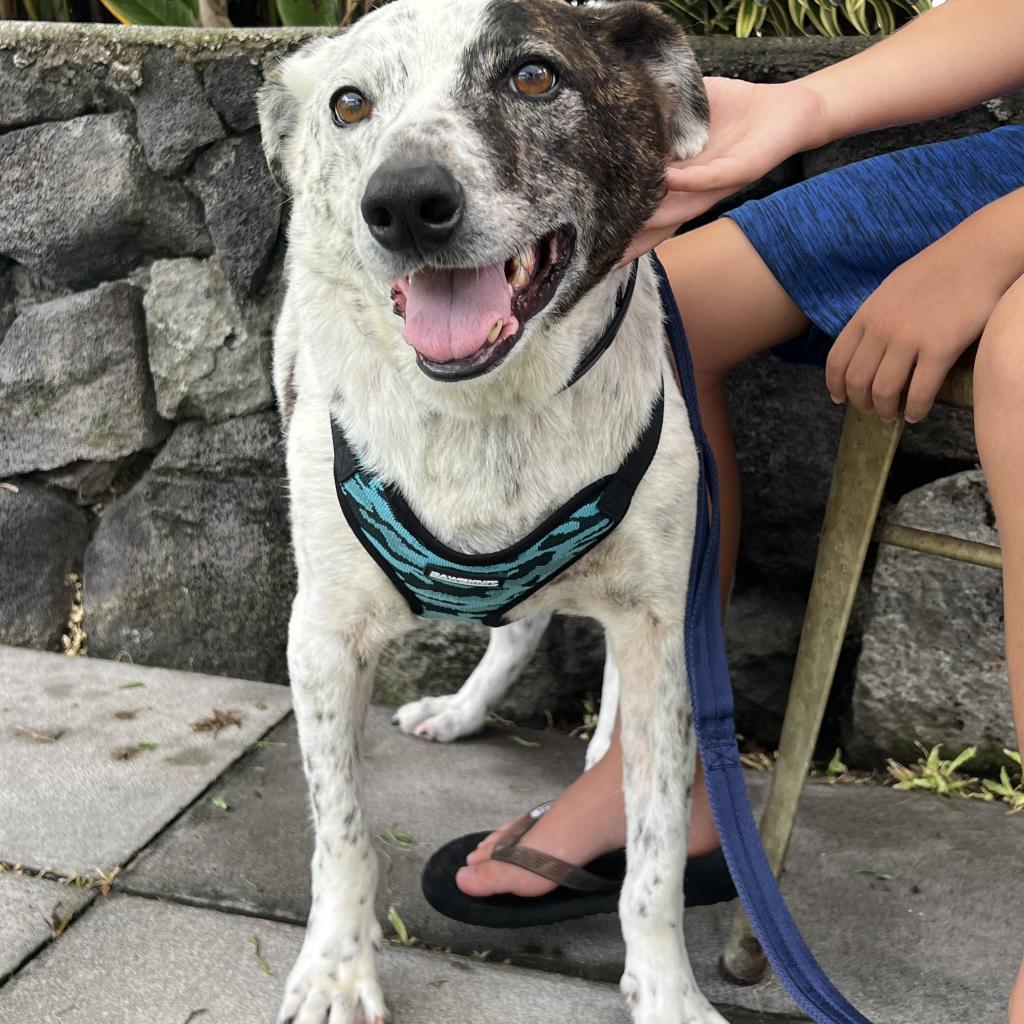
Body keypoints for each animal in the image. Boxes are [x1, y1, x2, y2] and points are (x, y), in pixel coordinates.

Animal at [254, 4, 720, 1019]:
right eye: (350, 103)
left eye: (535, 78)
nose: (403, 202)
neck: (489, 412)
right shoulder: (322, 635)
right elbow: (341, 829)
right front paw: (338, 968)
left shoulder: (661, 629)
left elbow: (658, 848)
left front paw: (667, 988)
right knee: (520, 622)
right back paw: (462, 712)